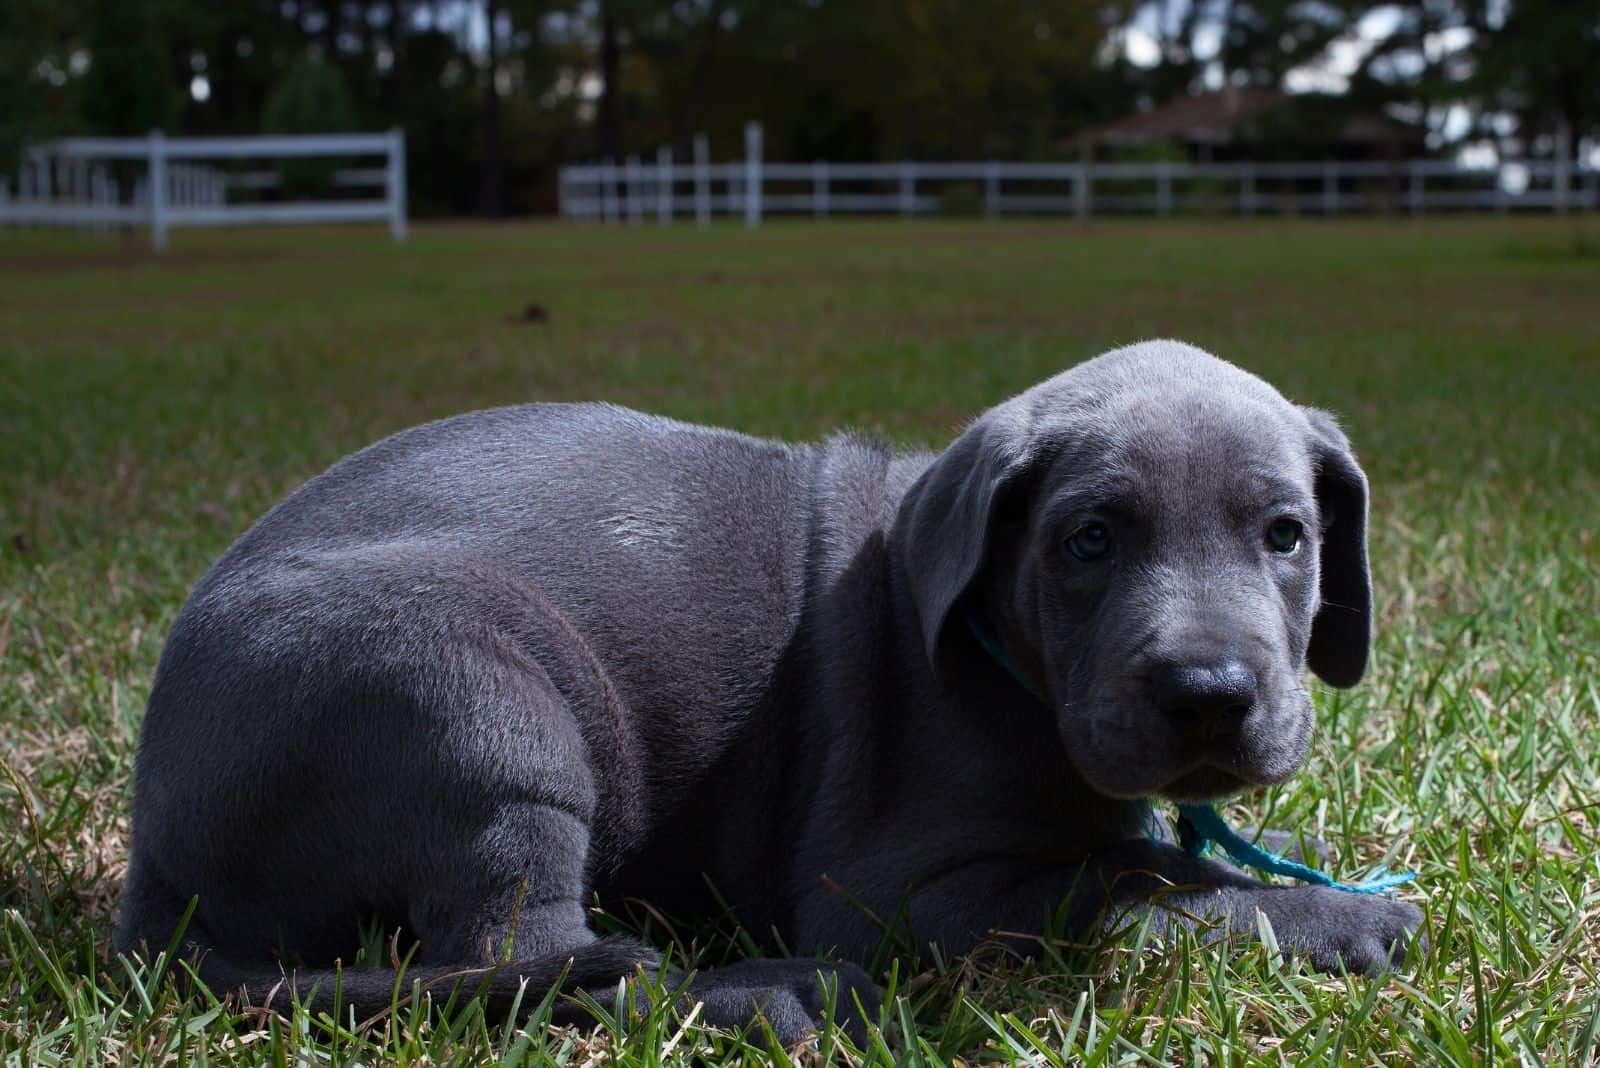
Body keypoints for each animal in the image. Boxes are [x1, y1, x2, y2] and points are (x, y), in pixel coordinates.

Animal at [121, 340, 1427, 1042]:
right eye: (1089, 541)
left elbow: (1153, 850)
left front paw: (1299, 865)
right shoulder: (898, 891)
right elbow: (1126, 878)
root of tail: (152, 867)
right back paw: (774, 996)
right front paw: (1333, 918)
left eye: (1285, 535)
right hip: (473, 698)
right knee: (543, 963)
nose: (1208, 693)